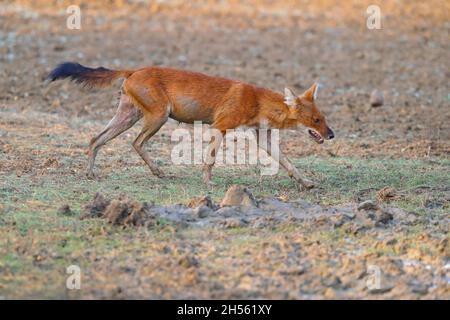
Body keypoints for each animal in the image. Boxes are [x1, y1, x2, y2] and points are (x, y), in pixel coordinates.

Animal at [48, 61, 334, 189]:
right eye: (316, 120)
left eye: (324, 118)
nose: (331, 134)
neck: (257, 101)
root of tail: (134, 70)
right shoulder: (220, 126)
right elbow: (210, 159)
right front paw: (207, 182)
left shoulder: (263, 137)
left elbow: (287, 162)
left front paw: (306, 182)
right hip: (159, 117)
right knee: (136, 142)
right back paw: (158, 172)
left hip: (129, 117)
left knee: (95, 139)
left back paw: (92, 174)